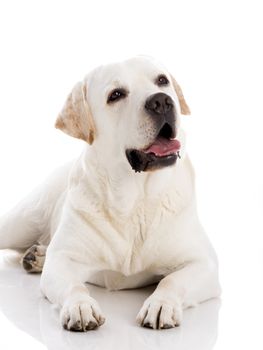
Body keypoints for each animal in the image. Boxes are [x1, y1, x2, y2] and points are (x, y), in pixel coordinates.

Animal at [0, 56, 222, 330]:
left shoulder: (204, 263)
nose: (161, 101)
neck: (135, 200)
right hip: (20, 222)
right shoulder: (62, 263)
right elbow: (74, 286)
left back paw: (37, 255)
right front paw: (80, 306)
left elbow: (170, 280)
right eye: (116, 95)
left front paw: (161, 304)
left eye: (162, 80)